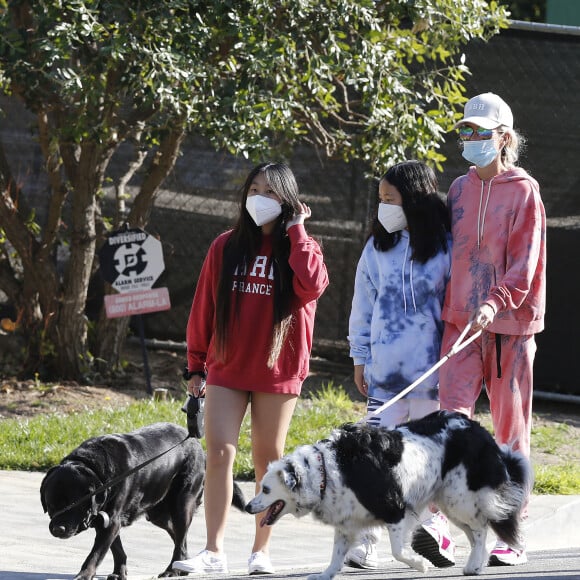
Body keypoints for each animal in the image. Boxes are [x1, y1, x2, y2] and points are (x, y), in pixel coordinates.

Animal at [40, 422, 245, 580]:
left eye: (73, 505)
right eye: (50, 505)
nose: (57, 529)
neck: (96, 470)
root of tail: (197, 443)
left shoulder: (111, 522)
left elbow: (95, 554)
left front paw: (84, 575)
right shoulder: (108, 522)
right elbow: (117, 549)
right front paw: (119, 572)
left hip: (182, 503)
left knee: (180, 539)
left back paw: (172, 570)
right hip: (158, 513)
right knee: (179, 537)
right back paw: (182, 565)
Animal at [245, 410, 532, 576]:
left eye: (266, 489)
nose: (247, 507)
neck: (325, 469)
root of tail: (479, 430)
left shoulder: (395, 509)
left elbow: (396, 551)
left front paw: (419, 564)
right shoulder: (346, 522)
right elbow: (337, 555)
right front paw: (325, 574)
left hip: (459, 498)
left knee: (482, 528)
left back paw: (474, 565)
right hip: (450, 503)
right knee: (474, 534)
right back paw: (475, 564)